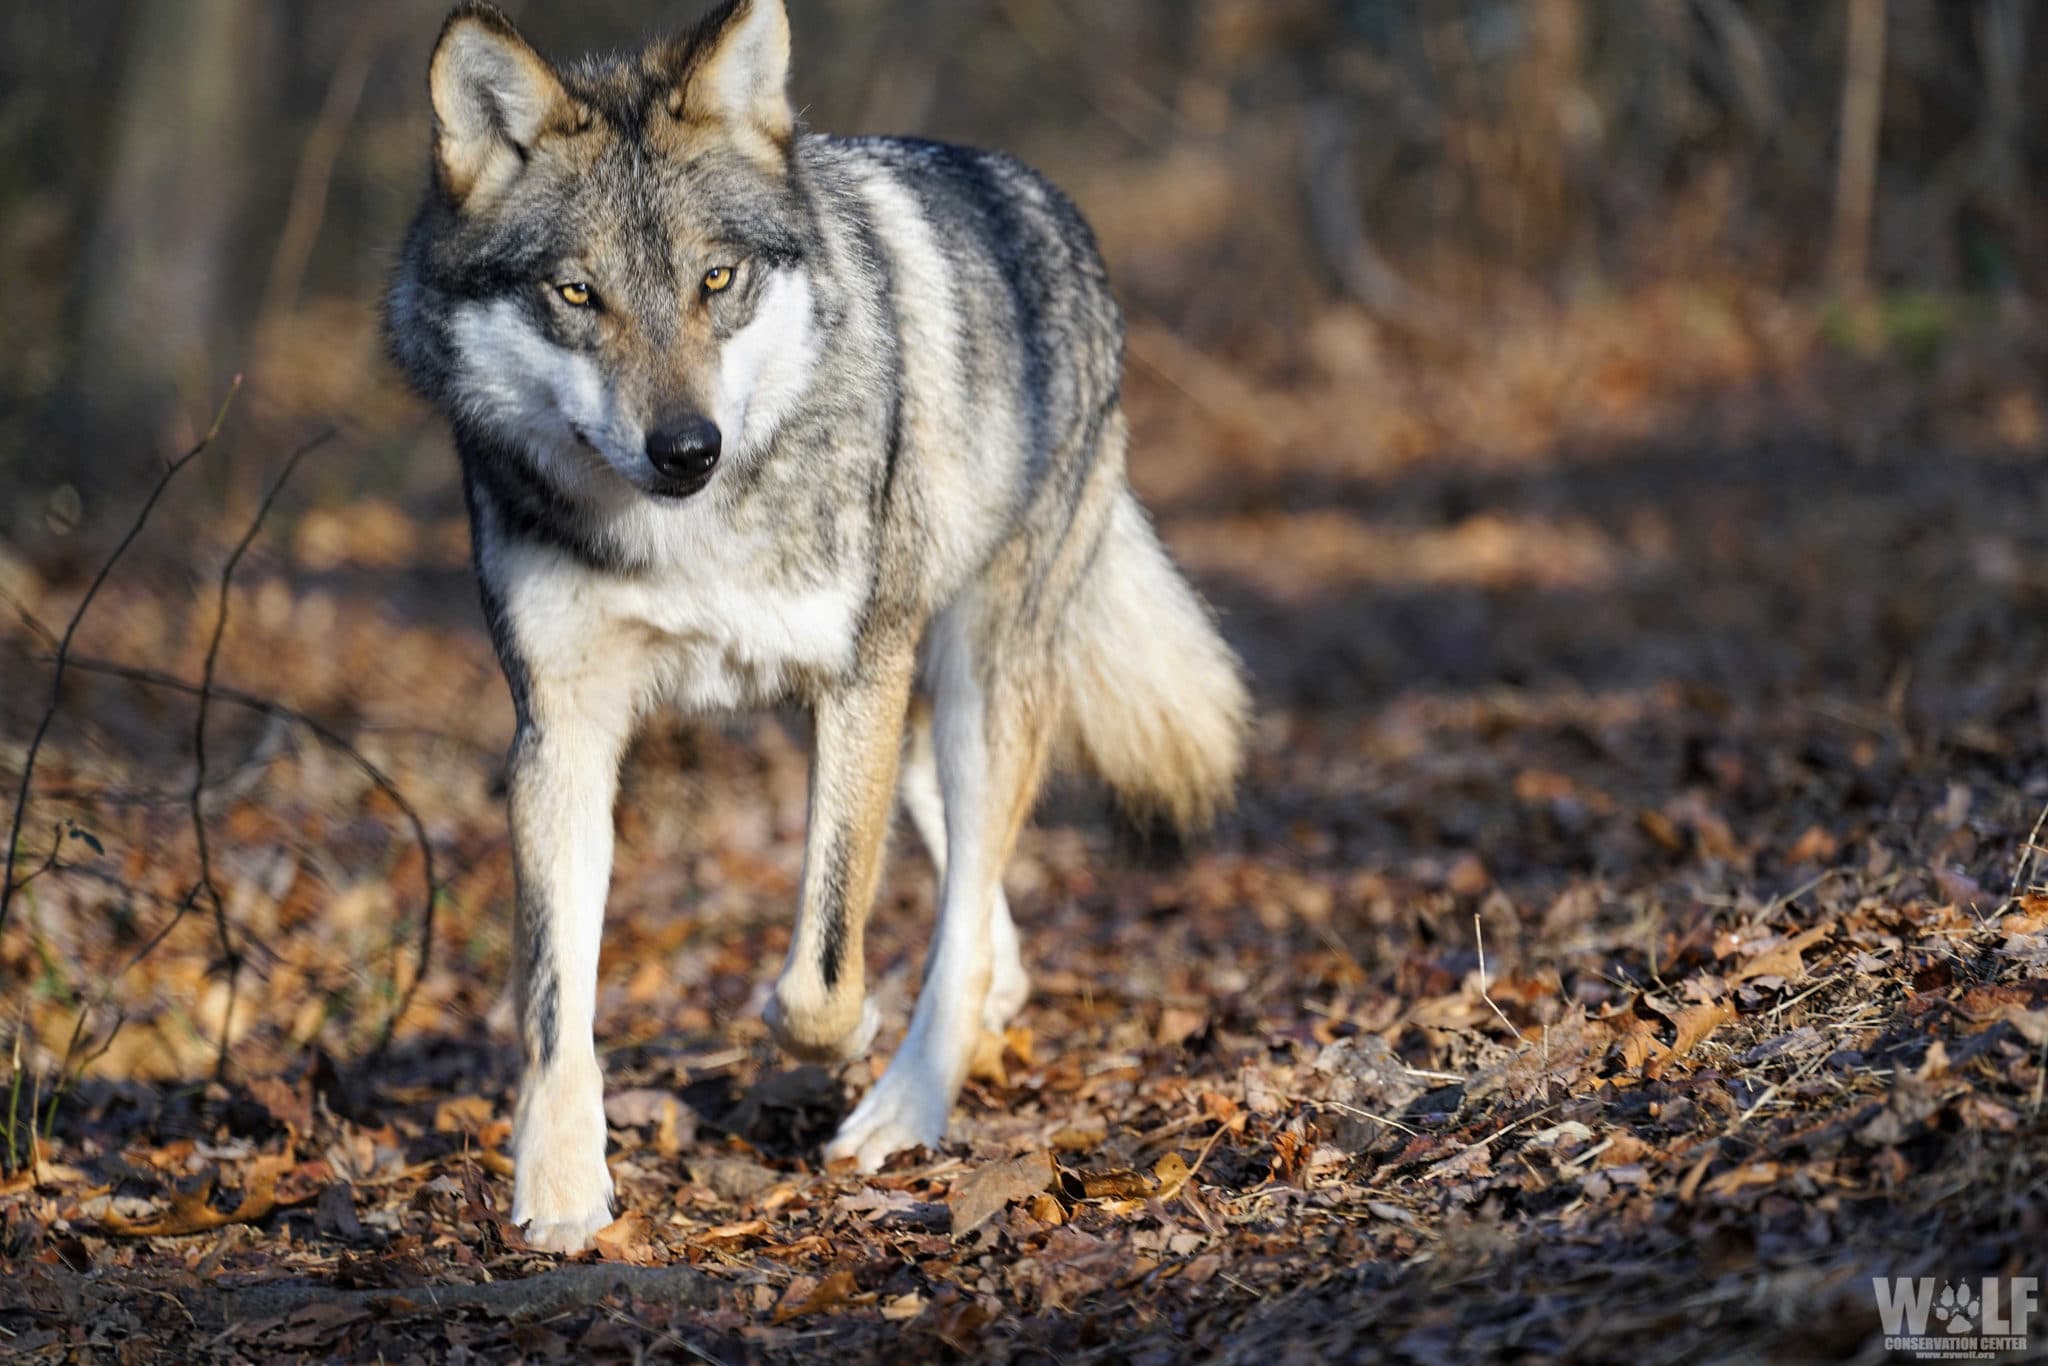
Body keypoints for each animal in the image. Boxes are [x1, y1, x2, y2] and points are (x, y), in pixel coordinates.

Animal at [385, 0, 1245, 1253]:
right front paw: (558, 1189)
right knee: (955, 854)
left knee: (965, 875)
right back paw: (988, 1002)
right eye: (577, 294)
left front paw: (826, 1033)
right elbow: (551, 998)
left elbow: (821, 968)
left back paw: (905, 1105)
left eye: (716, 279)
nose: (684, 448)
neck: (685, 534)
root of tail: (1036, 193)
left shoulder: (855, 677)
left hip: (971, 670)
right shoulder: (560, 727)